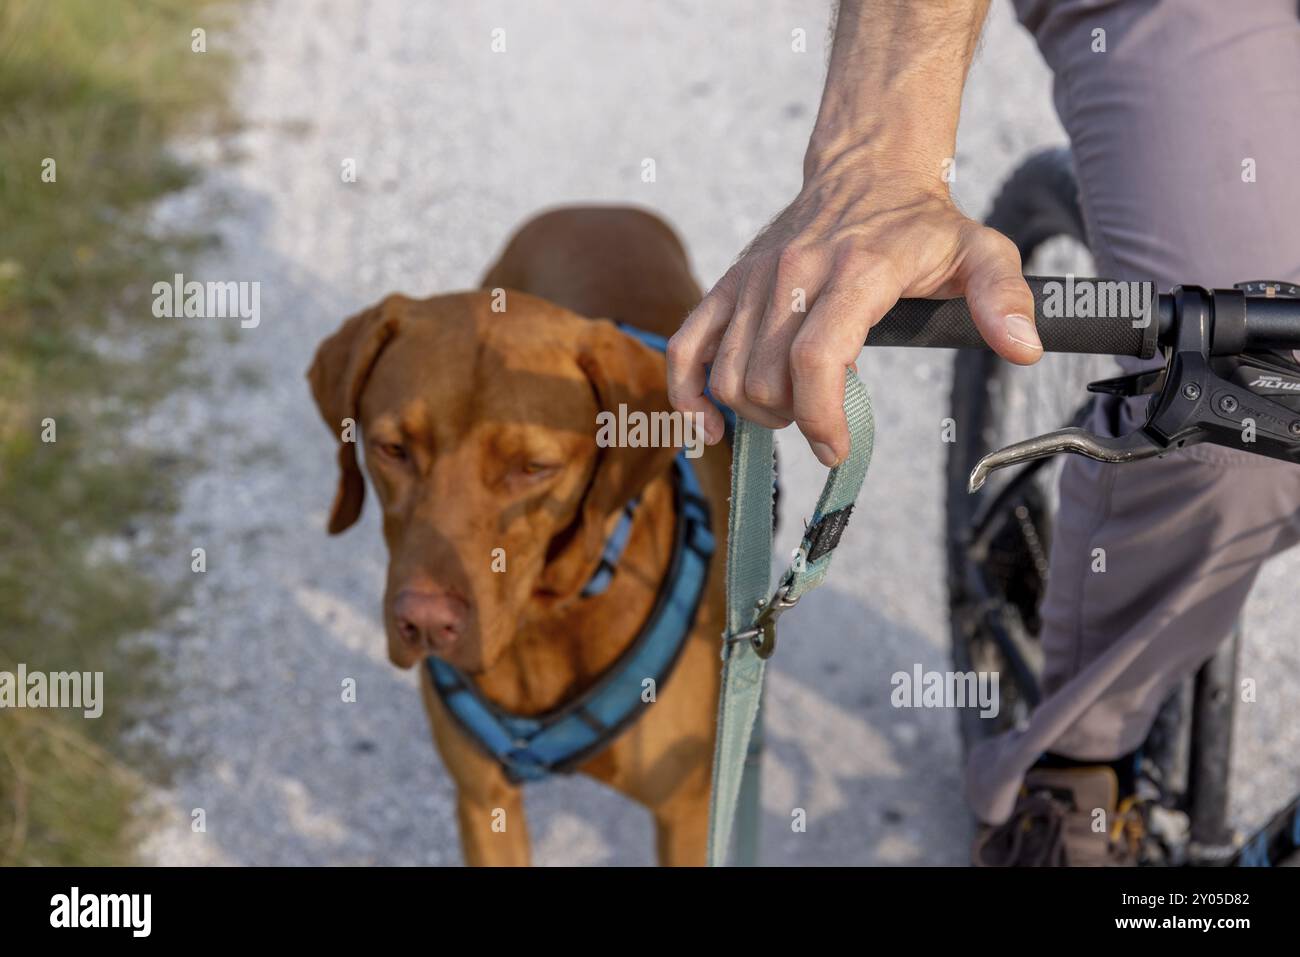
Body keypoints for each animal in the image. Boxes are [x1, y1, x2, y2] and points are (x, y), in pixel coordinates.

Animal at [308, 205, 728, 863]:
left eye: (533, 468)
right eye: (392, 449)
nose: (424, 624)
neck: (545, 622)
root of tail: (597, 207)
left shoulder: (686, 814)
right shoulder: (484, 802)